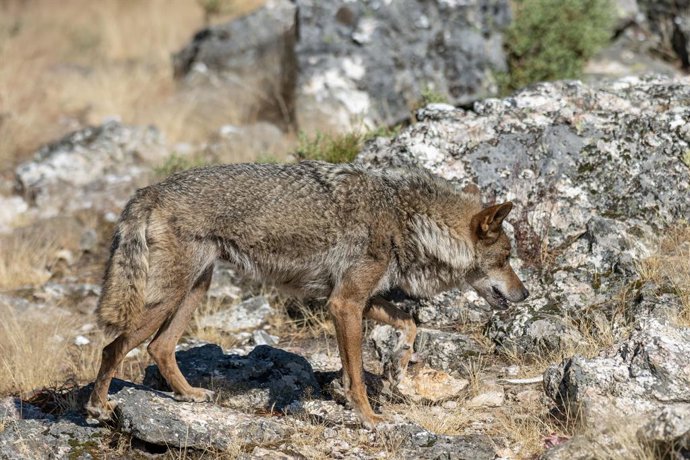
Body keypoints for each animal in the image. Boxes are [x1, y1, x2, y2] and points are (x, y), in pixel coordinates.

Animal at [86, 160, 529, 428]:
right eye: (506, 257)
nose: (525, 294)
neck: (406, 218)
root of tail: (149, 189)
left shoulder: (355, 299)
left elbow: (409, 323)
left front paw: (399, 365)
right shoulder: (344, 303)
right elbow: (357, 377)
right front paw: (369, 418)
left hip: (195, 288)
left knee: (158, 348)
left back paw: (190, 395)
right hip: (165, 297)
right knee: (113, 348)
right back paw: (98, 408)